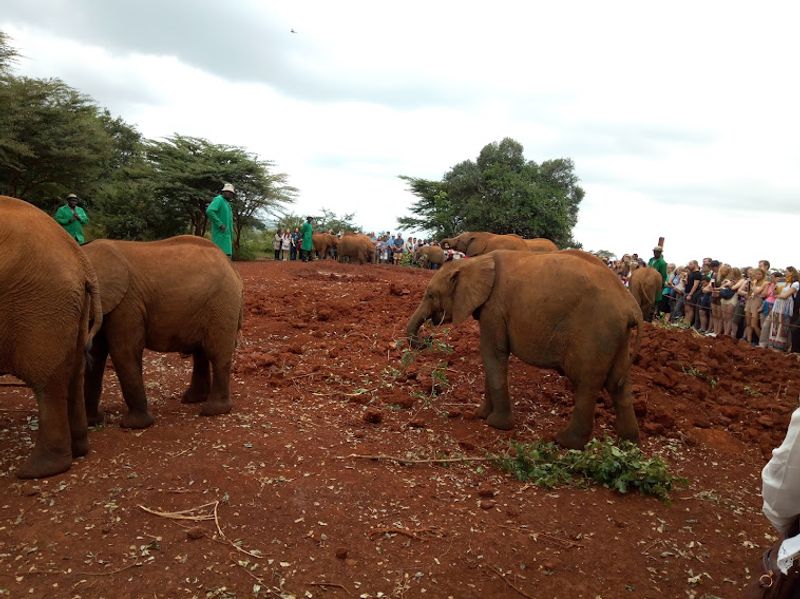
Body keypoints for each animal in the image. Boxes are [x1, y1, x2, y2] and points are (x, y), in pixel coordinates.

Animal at [0, 197, 103, 478]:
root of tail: (81, 259)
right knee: (75, 372)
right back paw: (78, 449)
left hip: (42, 302)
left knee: (48, 382)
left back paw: (35, 471)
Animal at [83, 237, 244, 428]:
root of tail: (232, 267)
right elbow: (96, 355)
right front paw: (93, 422)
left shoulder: (127, 303)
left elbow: (124, 352)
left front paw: (133, 425)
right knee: (201, 352)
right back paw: (193, 399)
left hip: (223, 302)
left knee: (216, 353)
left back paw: (212, 410)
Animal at [406, 250, 644, 450]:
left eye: (430, 295)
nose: (425, 340)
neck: (473, 262)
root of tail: (632, 308)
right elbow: (490, 359)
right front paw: (481, 415)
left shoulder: (495, 309)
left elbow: (493, 354)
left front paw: (496, 424)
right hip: (617, 336)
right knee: (618, 384)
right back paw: (628, 444)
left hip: (595, 332)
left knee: (586, 383)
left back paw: (565, 442)